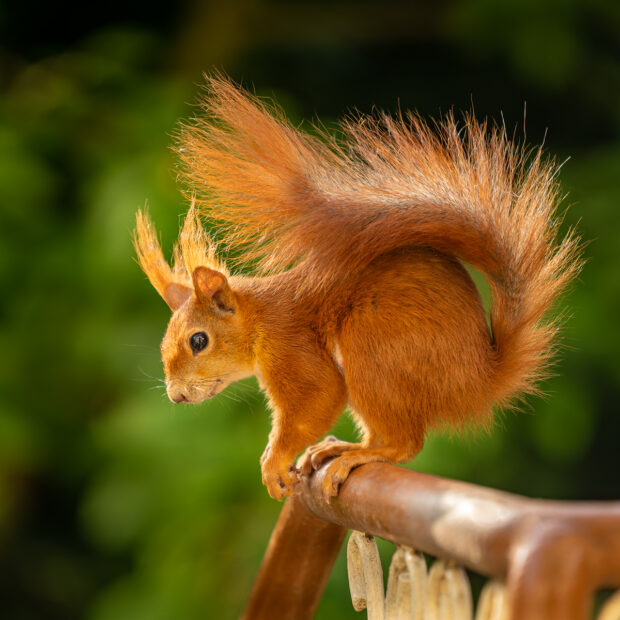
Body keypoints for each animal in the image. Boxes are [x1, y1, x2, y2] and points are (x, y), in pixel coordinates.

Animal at [134, 77, 580, 502]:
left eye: (198, 341)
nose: (176, 396)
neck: (259, 319)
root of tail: (478, 380)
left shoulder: (290, 346)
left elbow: (318, 398)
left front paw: (274, 461)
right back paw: (341, 449)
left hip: (374, 349)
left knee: (404, 444)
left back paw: (355, 457)